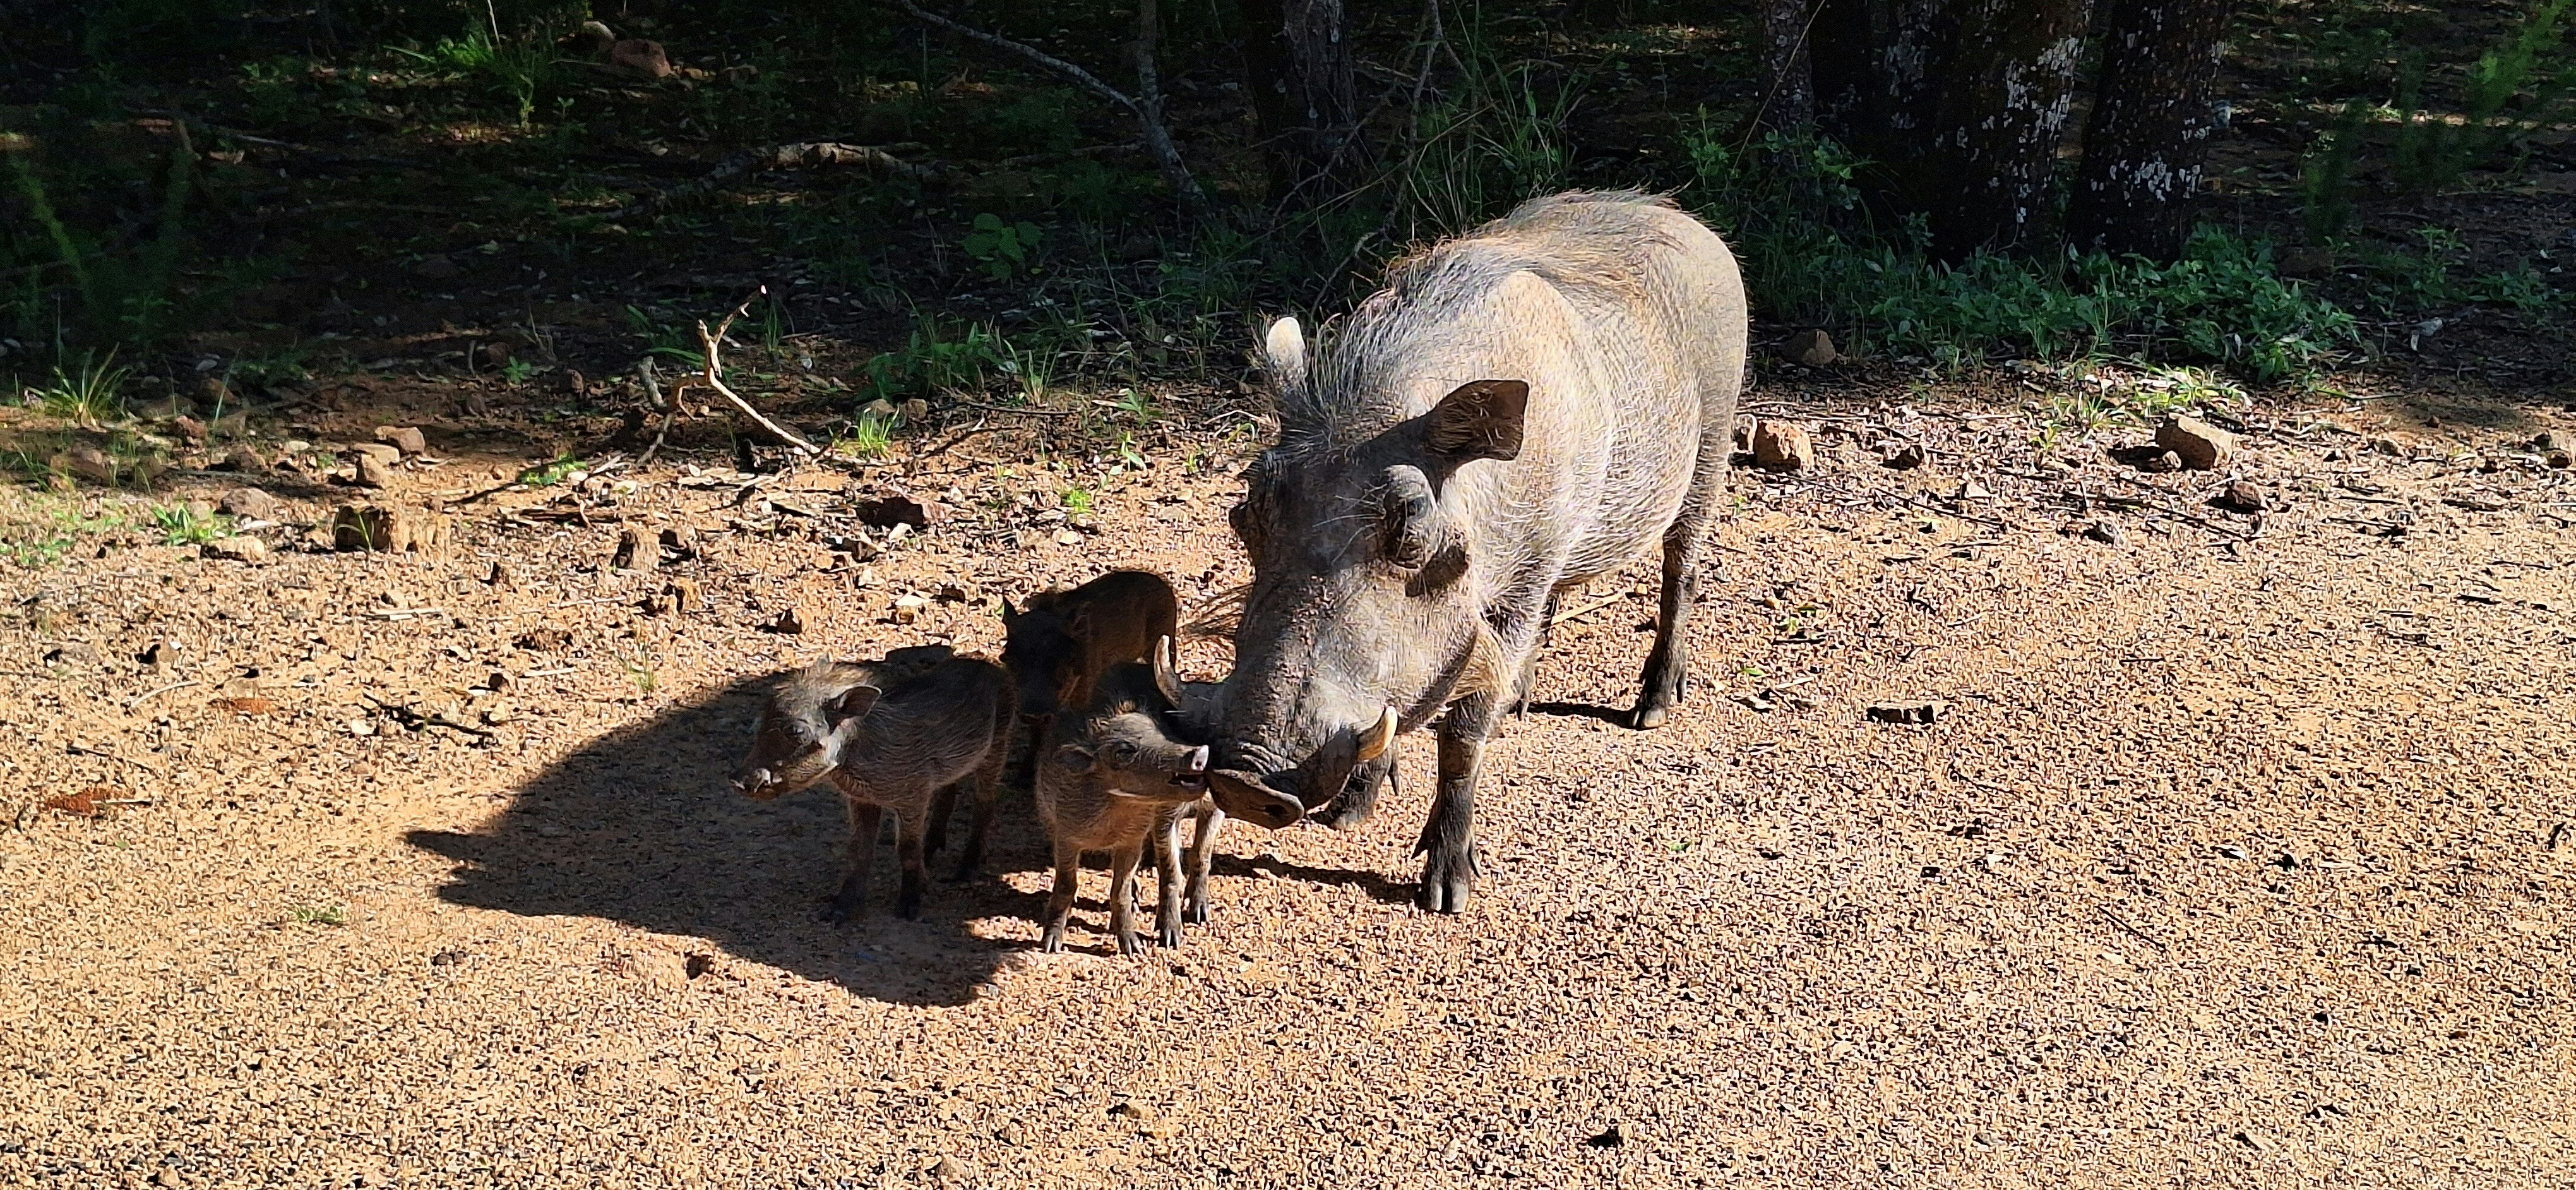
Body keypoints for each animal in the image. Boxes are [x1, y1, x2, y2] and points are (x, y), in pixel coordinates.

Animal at [731, 646, 1010, 921]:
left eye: (796, 732)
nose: (737, 782)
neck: (856, 749)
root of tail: (990, 665)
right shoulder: (862, 800)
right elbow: (859, 850)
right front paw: (841, 910)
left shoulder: (913, 798)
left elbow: (907, 849)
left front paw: (909, 907)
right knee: (948, 793)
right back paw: (931, 853)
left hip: (996, 749)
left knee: (986, 804)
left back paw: (966, 870)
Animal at [1193, 190, 1748, 913]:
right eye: (1246, 511)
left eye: (1409, 531)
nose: (1245, 781)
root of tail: (1683, 217)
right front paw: (1352, 811)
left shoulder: (1516, 592)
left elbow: (1462, 735)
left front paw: (1447, 887)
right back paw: (1523, 703)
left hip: (1707, 465)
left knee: (1681, 574)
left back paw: (1652, 706)